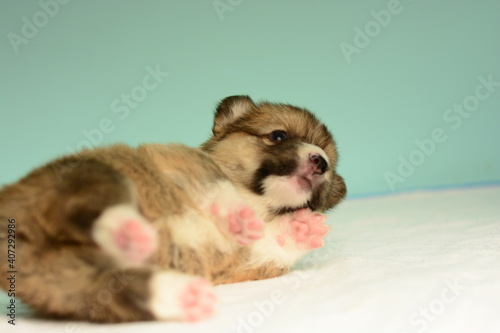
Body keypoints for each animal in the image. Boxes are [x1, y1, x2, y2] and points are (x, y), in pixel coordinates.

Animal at [0, 95, 344, 322]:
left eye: (328, 164)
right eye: (278, 136)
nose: (320, 163)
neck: (257, 204)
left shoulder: (242, 262)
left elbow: (273, 244)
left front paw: (302, 228)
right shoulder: (190, 166)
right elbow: (220, 188)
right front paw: (239, 217)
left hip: (71, 283)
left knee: (119, 288)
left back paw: (183, 292)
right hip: (93, 175)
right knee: (88, 207)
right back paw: (133, 230)